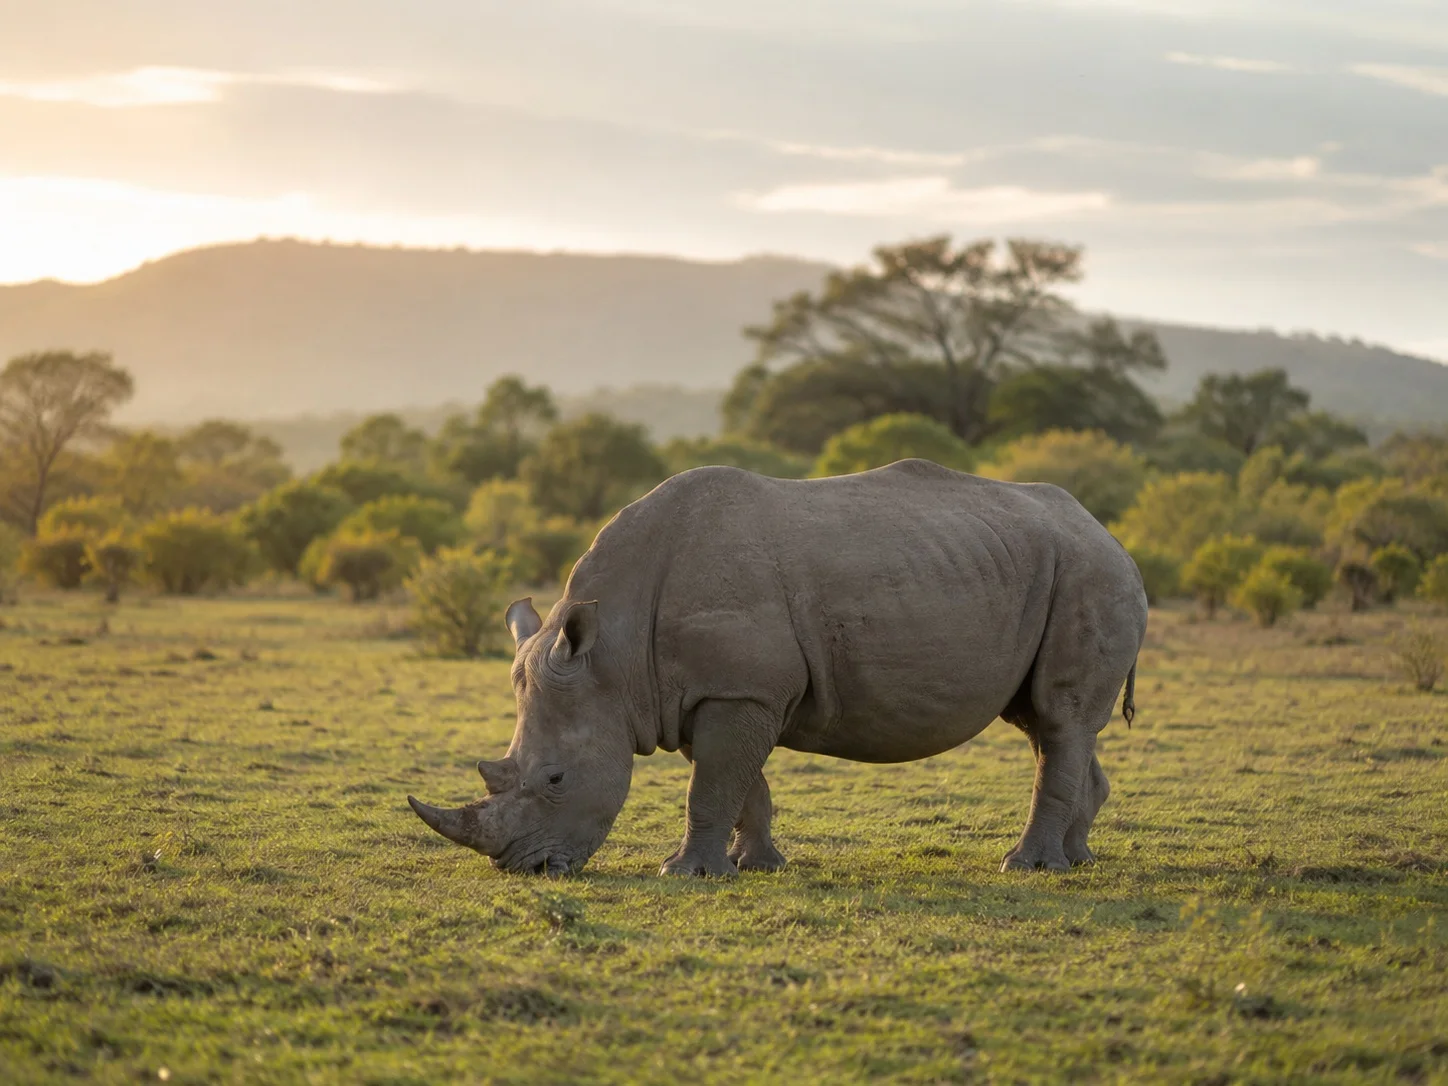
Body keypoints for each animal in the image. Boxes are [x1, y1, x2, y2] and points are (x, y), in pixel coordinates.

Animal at [408, 460, 1147, 877]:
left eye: (557, 779)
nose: (526, 871)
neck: (610, 656)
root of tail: (1107, 530)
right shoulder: (708, 692)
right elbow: (741, 786)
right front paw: (753, 865)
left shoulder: (736, 691)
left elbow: (711, 786)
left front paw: (686, 874)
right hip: (1056, 569)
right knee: (1045, 724)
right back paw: (1077, 860)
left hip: (1090, 573)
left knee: (1059, 717)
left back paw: (1028, 868)